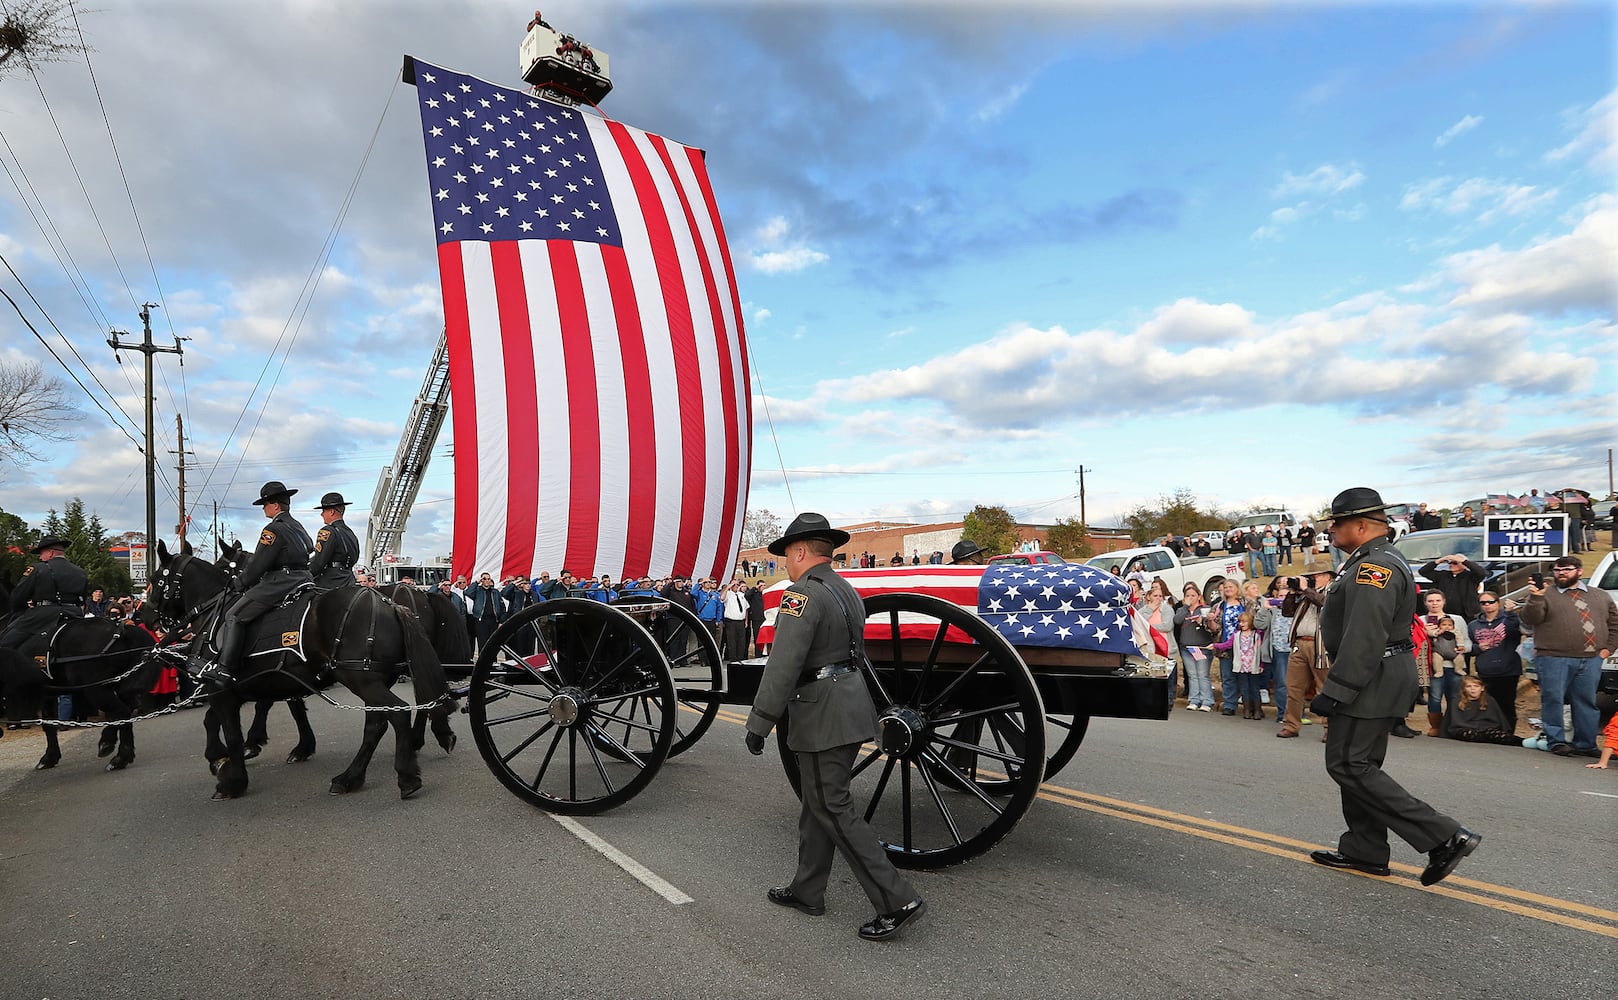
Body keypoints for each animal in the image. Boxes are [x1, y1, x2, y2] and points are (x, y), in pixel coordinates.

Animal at [0, 614, 159, 770]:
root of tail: (122, 631)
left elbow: (48, 724)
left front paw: (48, 757)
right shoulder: (48, 696)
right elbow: (49, 724)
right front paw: (51, 756)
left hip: (95, 690)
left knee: (122, 712)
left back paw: (119, 756)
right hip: (117, 687)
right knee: (124, 712)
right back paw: (112, 746)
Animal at [143, 540, 456, 799]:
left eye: (156, 580)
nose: (144, 616)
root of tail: (391, 603)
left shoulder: (224, 688)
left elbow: (231, 729)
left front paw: (233, 776)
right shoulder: (256, 683)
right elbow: (230, 717)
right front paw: (230, 756)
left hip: (363, 679)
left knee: (399, 713)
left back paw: (406, 774)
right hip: (374, 680)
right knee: (382, 721)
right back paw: (351, 777)